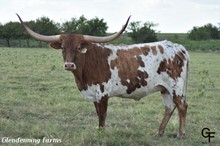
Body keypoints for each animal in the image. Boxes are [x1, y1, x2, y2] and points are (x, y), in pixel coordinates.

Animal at [16, 14, 189, 139]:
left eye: (78, 47)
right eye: (63, 48)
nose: (69, 65)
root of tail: (179, 47)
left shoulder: (103, 93)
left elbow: (102, 115)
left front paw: (101, 134)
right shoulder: (93, 94)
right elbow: (98, 113)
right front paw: (99, 132)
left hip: (176, 87)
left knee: (182, 106)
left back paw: (180, 134)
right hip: (164, 88)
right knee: (169, 107)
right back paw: (159, 132)